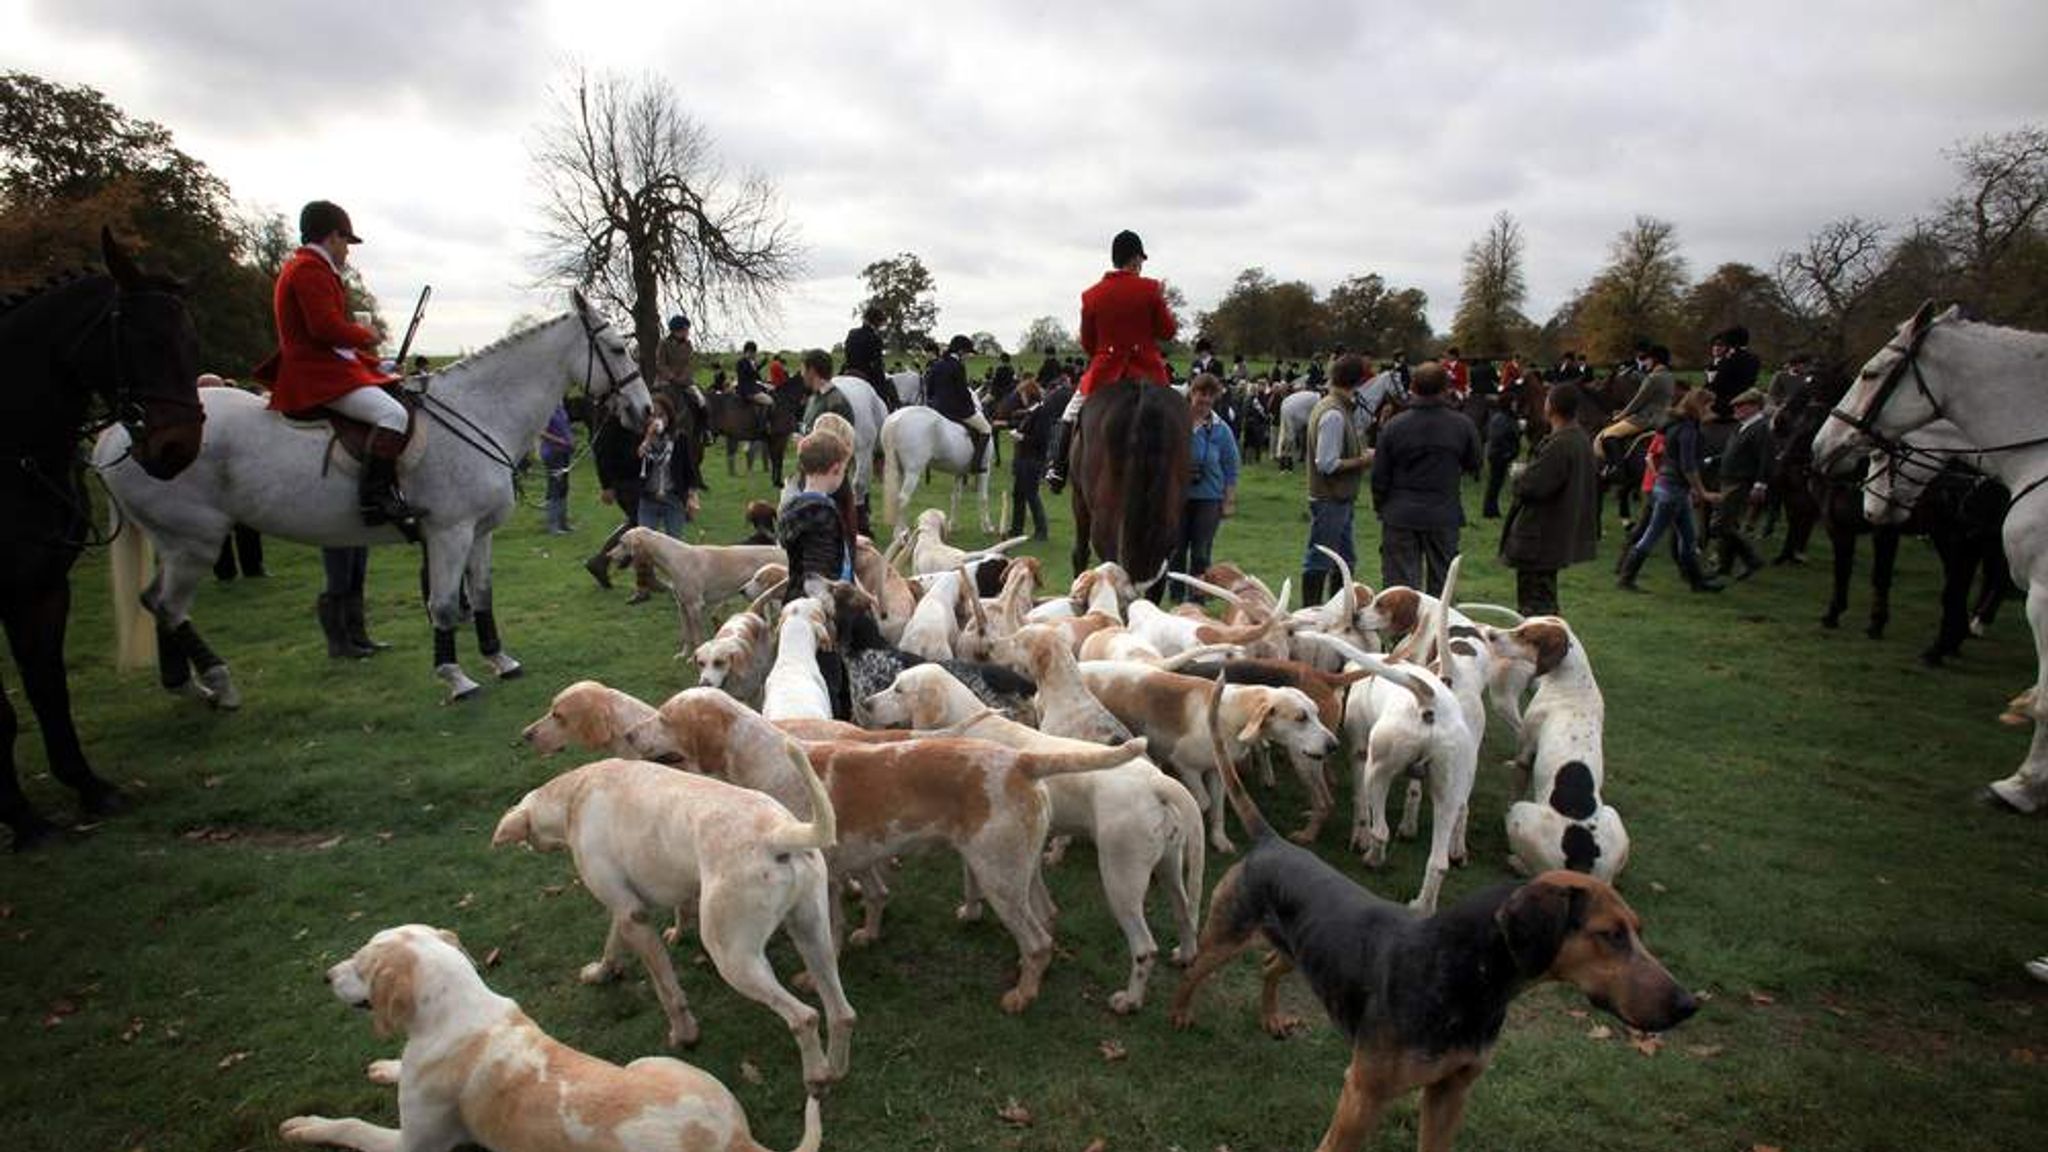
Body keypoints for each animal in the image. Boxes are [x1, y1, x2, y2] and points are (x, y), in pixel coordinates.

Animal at [2, 230, 205, 844]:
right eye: (140, 339)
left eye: (193, 339)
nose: (176, 449)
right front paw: (25, 819)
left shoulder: (42, 587)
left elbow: (49, 688)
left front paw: (89, 787)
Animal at [97, 289, 647, 701]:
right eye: (619, 349)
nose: (643, 411)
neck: (480, 410)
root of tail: (117, 435)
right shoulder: (448, 532)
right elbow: (444, 604)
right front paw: (455, 677)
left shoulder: (479, 531)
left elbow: (483, 595)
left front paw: (499, 659)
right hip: (196, 539)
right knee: (169, 606)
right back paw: (217, 682)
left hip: (176, 541)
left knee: (155, 603)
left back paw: (187, 686)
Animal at [880, 407, 991, 537]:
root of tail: (895, 421)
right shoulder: (985, 470)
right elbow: (983, 498)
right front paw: (987, 527)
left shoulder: (959, 472)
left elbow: (956, 497)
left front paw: (953, 525)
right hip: (913, 471)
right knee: (903, 499)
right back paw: (901, 532)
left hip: (899, 469)